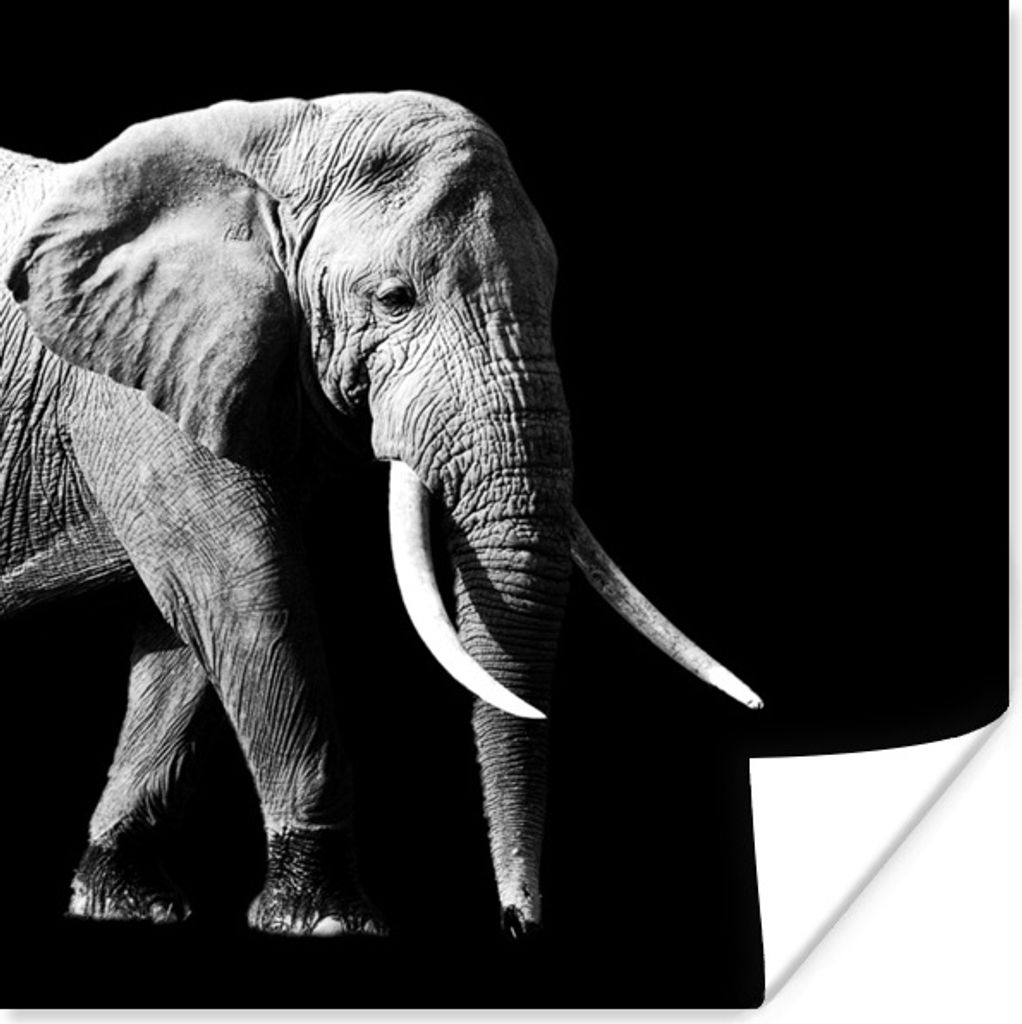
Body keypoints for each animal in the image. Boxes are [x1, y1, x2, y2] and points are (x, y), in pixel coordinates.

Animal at [0, 91, 763, 938]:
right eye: (395, 299)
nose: (518, 922)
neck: (281, 137)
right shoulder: (135, 385)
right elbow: (246, 589)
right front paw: (327, 920)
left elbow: (185, 632)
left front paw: (125, 904)